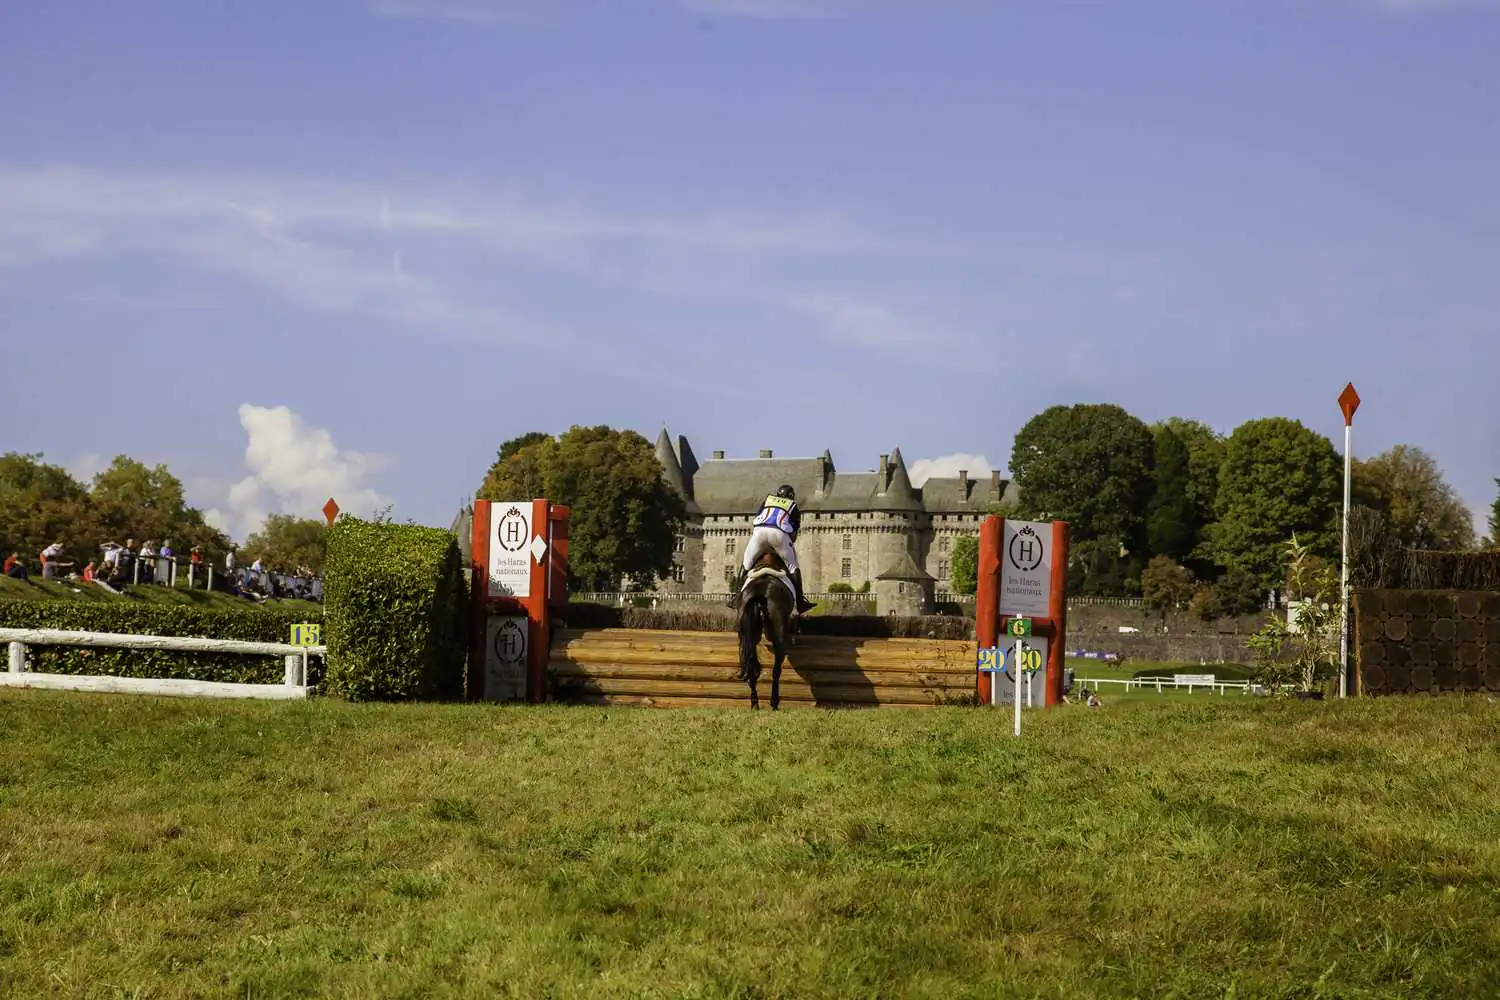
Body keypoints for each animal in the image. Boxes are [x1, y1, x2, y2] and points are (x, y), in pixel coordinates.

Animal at [735, 551, 798, 707]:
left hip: (745, 636)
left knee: (750, 665)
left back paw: (754, 703)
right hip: (780, 634)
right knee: (776, 668)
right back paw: (774, 702)